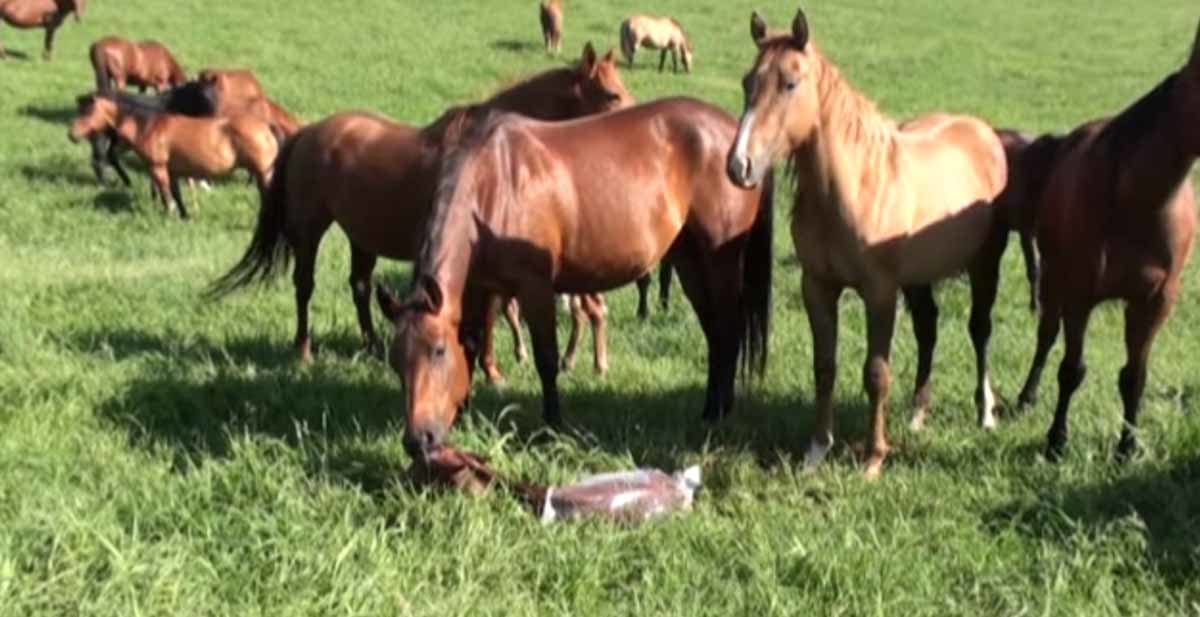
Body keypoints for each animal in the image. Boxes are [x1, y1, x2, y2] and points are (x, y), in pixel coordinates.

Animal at [69, 90, 276, 217]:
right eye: (79, 110)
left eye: (87, 112)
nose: (71, 135)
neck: (149, 127)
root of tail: (266, 130)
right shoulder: (173, 170)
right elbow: (176, 195)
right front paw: (184, 216)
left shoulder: (158, 168)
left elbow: (166, 195)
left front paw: (170, 215)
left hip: (263, 172)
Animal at [210, 42, 633, 379]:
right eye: (612, 94)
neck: (488, 152)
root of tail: (306, 133)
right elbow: (491, 312)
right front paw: (492, 370)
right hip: (310, 229)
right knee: (304, 285)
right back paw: (303, 350)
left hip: (362, 235)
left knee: (360, 286)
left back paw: (373, 345)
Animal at [379, 96, 777, 460]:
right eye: (396, 360)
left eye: (437, 351)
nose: (418, 441)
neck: (494, 184)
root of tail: (740, 146)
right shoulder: (480, 286)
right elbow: (473, 348)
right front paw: (463, 413)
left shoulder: (535, 288)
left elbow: (546, 359)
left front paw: (552, 427)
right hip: (688, 261)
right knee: (715, 333)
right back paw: (710, 408)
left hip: (720, 262)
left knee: (729, 330)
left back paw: (719, 413)